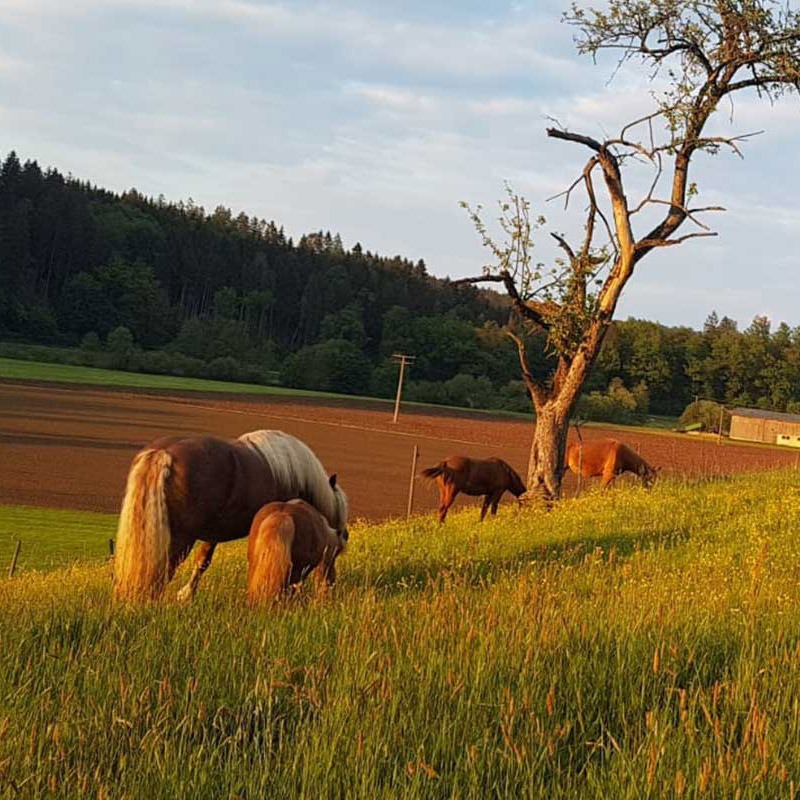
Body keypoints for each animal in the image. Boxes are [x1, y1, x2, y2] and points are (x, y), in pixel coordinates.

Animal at [111, 428, 346, 604]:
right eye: (334, 551)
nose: (330, 586)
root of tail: (163, 453)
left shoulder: (214, 531)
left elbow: (203, 560)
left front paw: (187, 594)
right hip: (180, 538)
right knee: (164, 568)